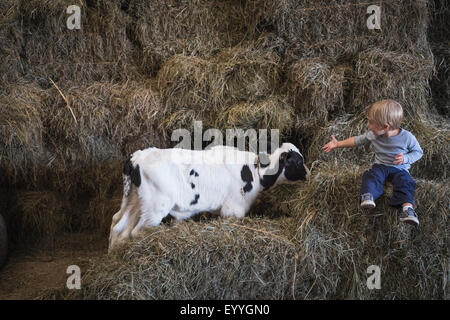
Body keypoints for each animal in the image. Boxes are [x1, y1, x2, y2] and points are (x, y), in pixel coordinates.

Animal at [109, 142, 310, 250]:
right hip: (154, 208)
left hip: (134, 201)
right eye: (298, 161)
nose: (308, 173)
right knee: (135, 231)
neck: (255, 171)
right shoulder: (233, 209)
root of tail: (136, 157)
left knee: (118, 226)